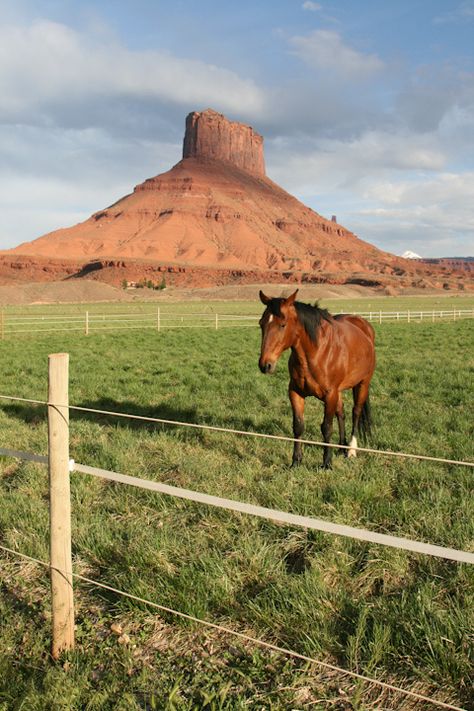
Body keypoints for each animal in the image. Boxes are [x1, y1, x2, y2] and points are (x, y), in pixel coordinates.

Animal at [258, 290, 376, 468]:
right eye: (261, 324)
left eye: (283, 325)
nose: (265, 365)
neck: (317, 352)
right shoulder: (295, 393)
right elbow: (298, 426)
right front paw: (296, 461)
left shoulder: (330, 395)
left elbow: (326, 427)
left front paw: (327, 463)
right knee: (341, 413)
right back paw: (340, 447)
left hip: (362, 384)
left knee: (355, 412)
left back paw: (351, 450)